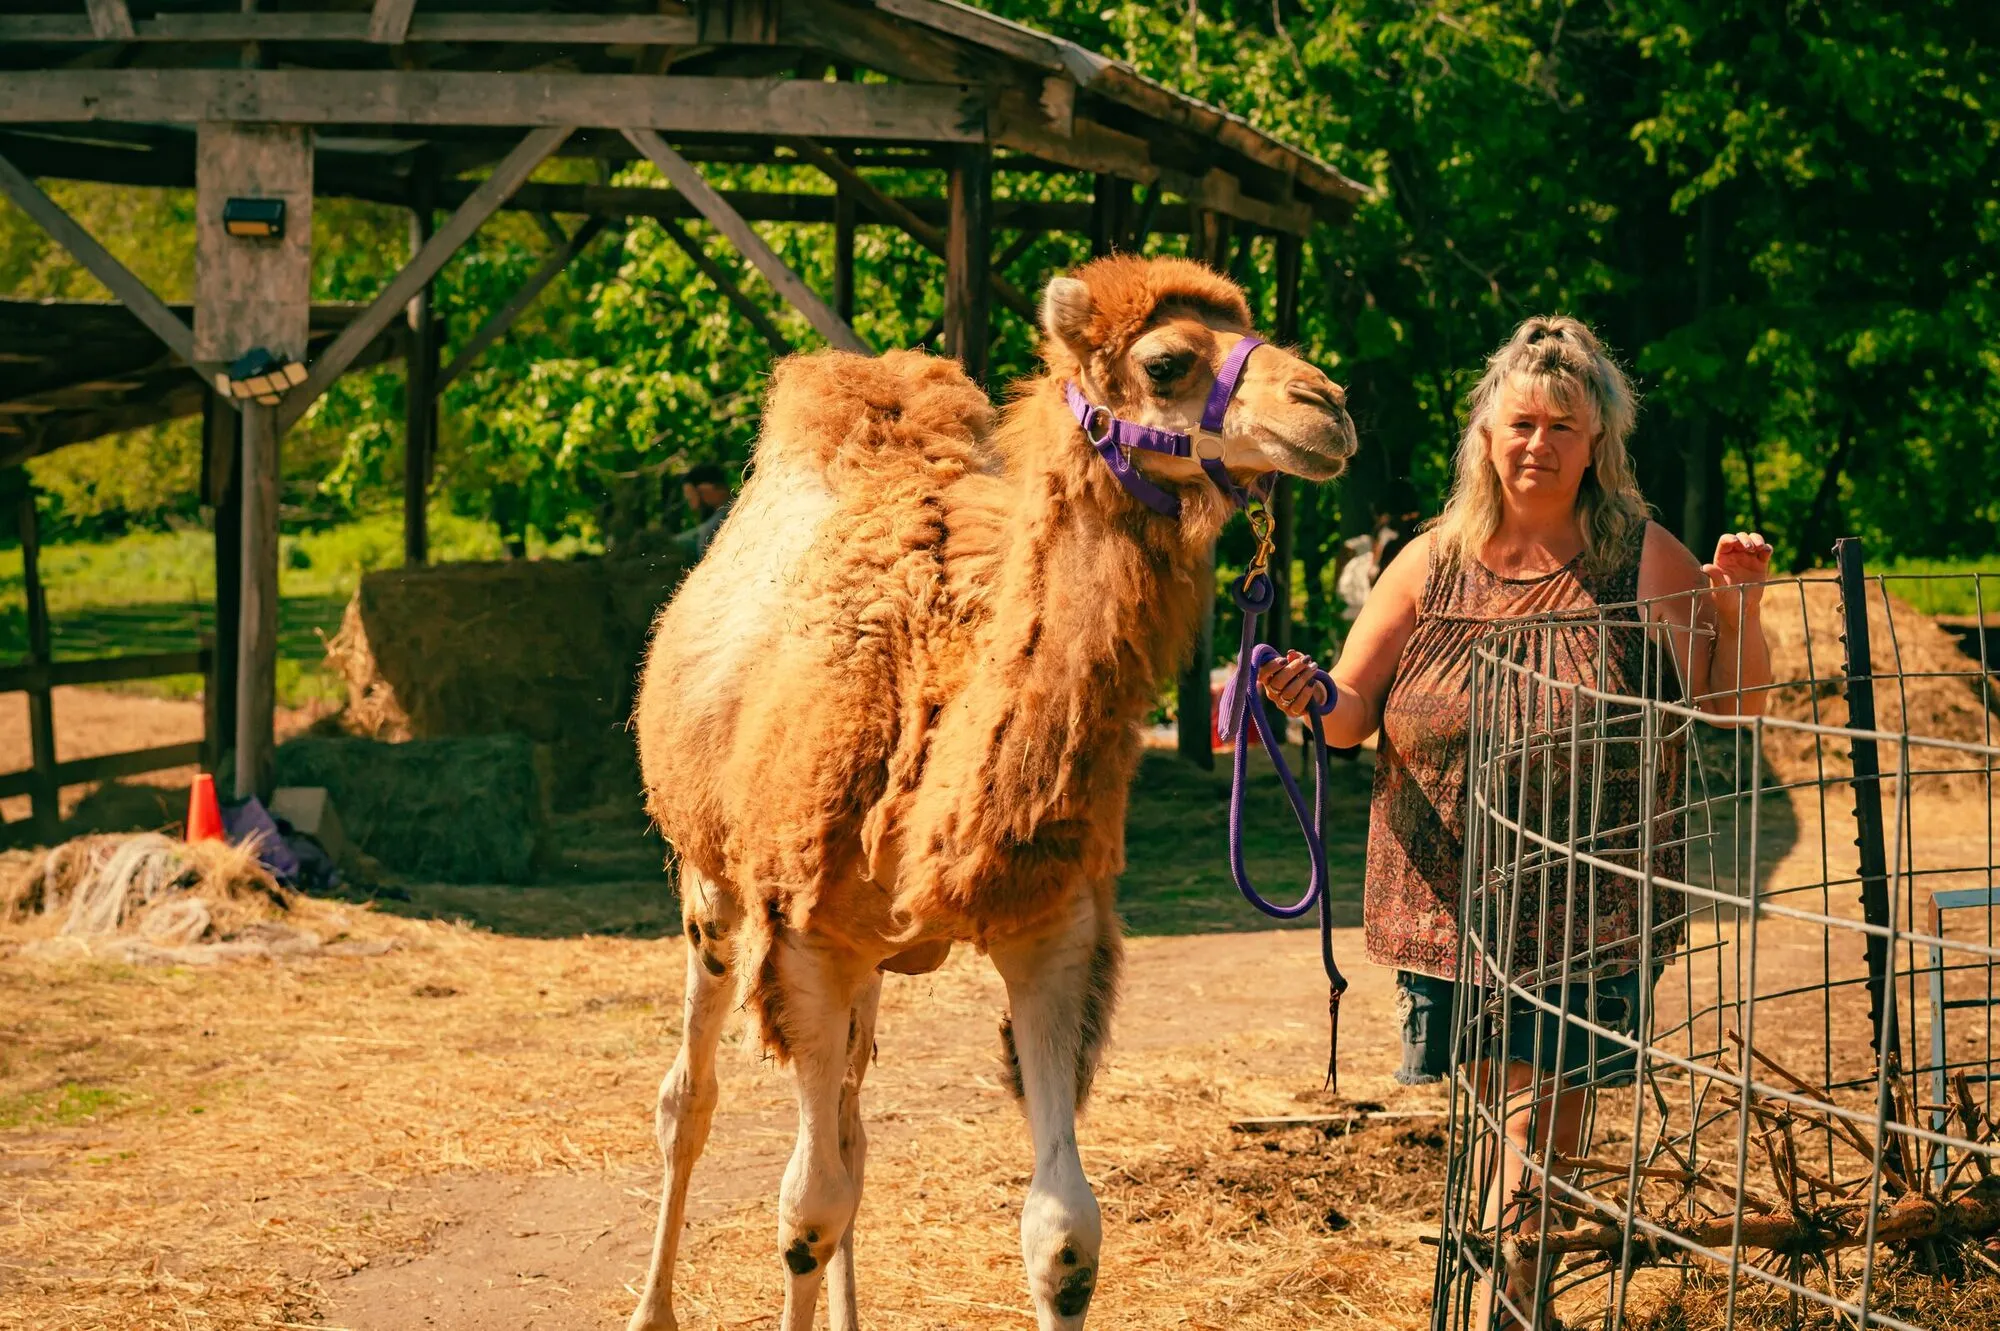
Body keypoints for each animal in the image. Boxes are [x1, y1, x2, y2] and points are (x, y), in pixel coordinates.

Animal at [626, 255, 1356, 1331]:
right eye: (1168, 360)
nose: (1327, 408)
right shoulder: (802, 932)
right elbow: (804, 1206)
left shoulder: (1051, 925)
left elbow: (1062, 1234)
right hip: (711, 881)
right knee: (693, 1098)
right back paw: (654, 1305)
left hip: (866, 952)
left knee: (850, 1123)